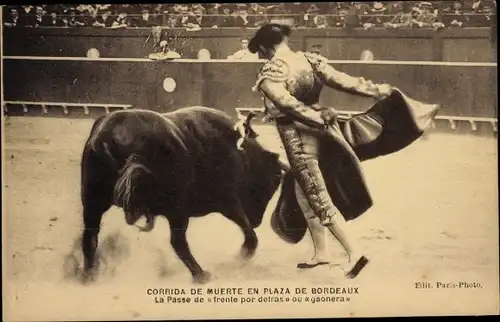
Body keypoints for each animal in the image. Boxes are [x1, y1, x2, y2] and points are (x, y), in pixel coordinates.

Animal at [82, 107, 286, 284]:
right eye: (274, 180)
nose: (257, 221)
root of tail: (112, 136)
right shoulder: (228, 199)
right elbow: (248, 231)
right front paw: (242, 256)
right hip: (177, 209)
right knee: (178, 241)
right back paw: (201, 275)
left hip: (92, 202)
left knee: (90, 238)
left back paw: (89, 277)